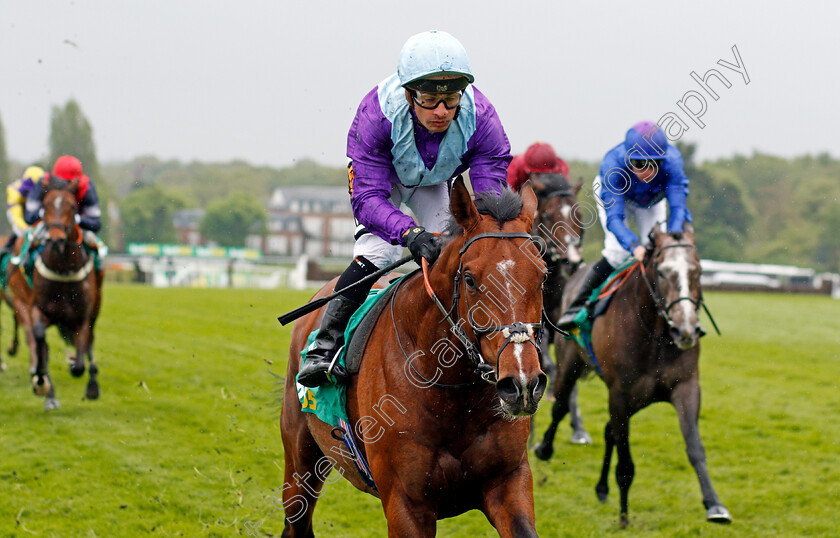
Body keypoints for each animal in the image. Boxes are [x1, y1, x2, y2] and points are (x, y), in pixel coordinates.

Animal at [29, 176, 104, 406]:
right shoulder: (38, 309)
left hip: (95, 310)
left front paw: (75, 365)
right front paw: (40, 380)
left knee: (90, 344)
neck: (62, 268)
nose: (56, 240)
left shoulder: (81, 318)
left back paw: (92, 385)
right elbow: (39, 337)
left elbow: (80, 363)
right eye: (45, 205)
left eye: (72, 206)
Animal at [278, 177, 548, 536]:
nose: (522, 383)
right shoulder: (406, 504)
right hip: (300, 462)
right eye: (470, 279)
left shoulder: (508, 482)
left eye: (543, 276)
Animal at [540, 223, 728, 524]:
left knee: (608, 430)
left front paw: (714, 505)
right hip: (570, 364)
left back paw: (602, 488)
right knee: (561, 406)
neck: (654, 334)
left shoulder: (686, 387)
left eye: (698, 270)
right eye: (661, 271)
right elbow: (625, 462)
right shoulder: (619, 393)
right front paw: (624, 515)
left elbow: (695, 447)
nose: (685, 330)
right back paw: (544, 448)